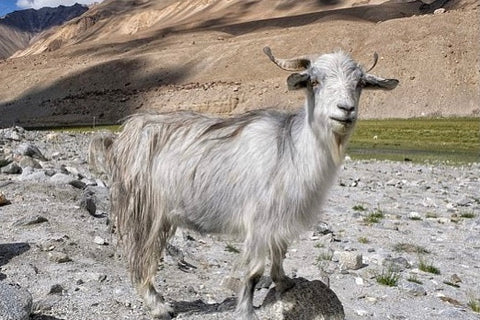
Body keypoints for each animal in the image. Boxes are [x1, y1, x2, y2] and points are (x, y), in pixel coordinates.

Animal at [108, 46, 398, 318]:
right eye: (314, 81)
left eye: (360, 83)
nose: (345, 110)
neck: (292, 149)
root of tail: (131, 128)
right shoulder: (259, 220)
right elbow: (255, 271)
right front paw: (246, 310)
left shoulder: (280, 219)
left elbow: (280, 253)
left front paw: (285, 282)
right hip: (145, 210)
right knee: (142, 257)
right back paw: (158, 306)